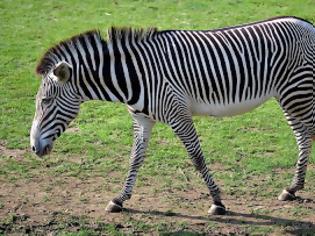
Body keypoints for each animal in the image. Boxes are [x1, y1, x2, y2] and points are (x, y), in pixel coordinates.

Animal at [31, 16, 315, 216]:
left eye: (46, 101)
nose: (33, 148)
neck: (134, 76)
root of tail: (306, 23)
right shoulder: (142, 119)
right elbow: (135, 158)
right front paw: (119, 199)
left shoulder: (178, 114)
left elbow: (197, 157)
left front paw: (217, 202)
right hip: (287, 96)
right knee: (303, 136)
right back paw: (292, 188)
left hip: (297, 91)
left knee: (307, 132)